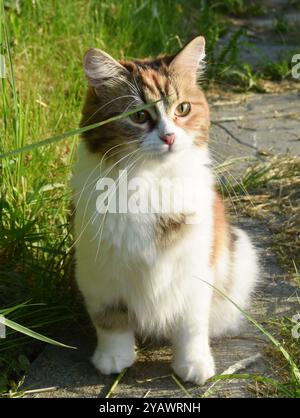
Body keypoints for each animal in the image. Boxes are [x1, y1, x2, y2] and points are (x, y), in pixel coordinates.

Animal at [71, 36, 258, 386]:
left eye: (182, 109)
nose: (169, 136)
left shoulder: (194, 272)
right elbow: (110, 321)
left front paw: (194, 365)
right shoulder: (99, 273)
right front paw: (114, 359)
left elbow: (191, 326)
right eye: (139, 116)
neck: (149, 180)